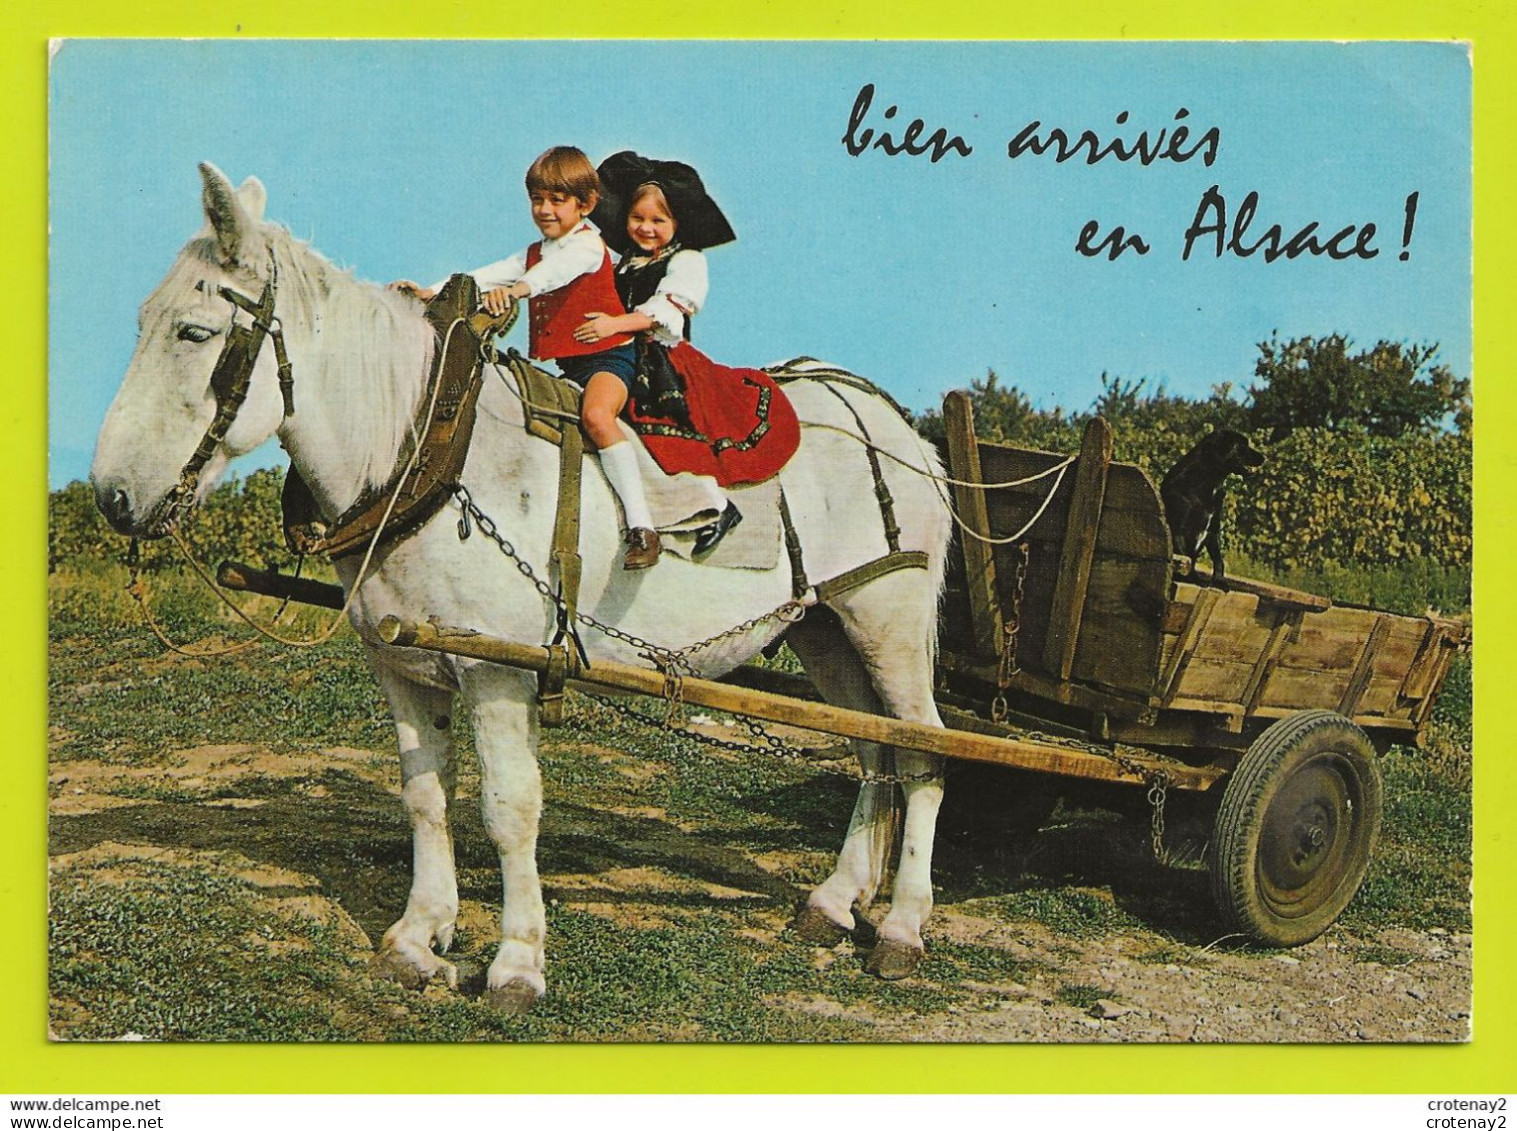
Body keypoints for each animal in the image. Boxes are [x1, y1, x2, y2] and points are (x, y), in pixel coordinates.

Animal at [91, 162, 946, 1006]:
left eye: (193, 332)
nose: (113, 496)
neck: (426, 449)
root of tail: (894, 424)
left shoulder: (498, 671)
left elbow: (509, 809)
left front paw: (516, 961)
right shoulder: (402, 665)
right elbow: (426, 793)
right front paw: (418, 936)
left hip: (888, 618)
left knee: (924, 757)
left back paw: (902, 926)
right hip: (825, 625)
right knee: (874, 751)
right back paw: (834, 901)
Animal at [1165, 424, 1262, 582]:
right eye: (1243, 446)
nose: (1264, 458)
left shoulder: (1212, 529)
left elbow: (1218, 561)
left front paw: (1218, 580)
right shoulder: (1178, 528)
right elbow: (1186, 559)